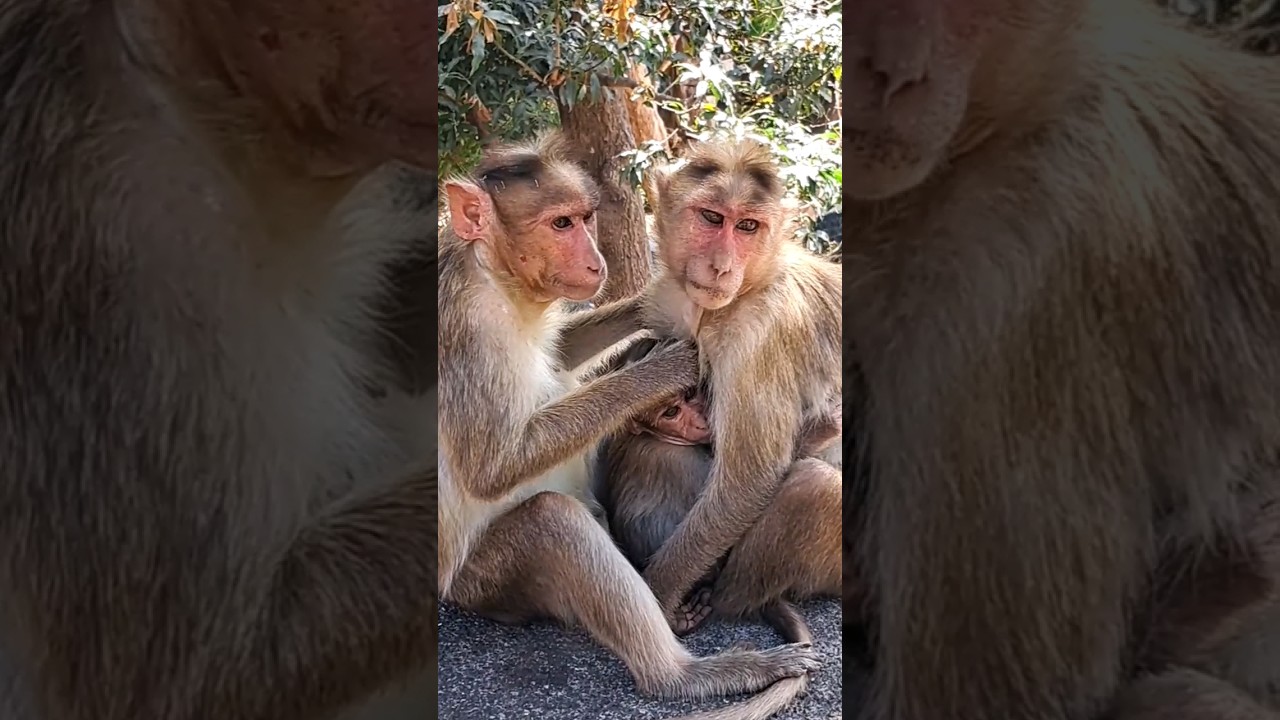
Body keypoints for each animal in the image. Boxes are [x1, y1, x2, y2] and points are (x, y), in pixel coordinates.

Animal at [437, 134, 821, 708]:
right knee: (554, 520)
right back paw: (684, 676)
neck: (496, 278)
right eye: (561, 224)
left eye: (583, 218)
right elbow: (491, 467)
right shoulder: (464, 327)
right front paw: (662, 369)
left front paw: (651, 304)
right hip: (483, 584)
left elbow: (563, 351)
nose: (596, 262)